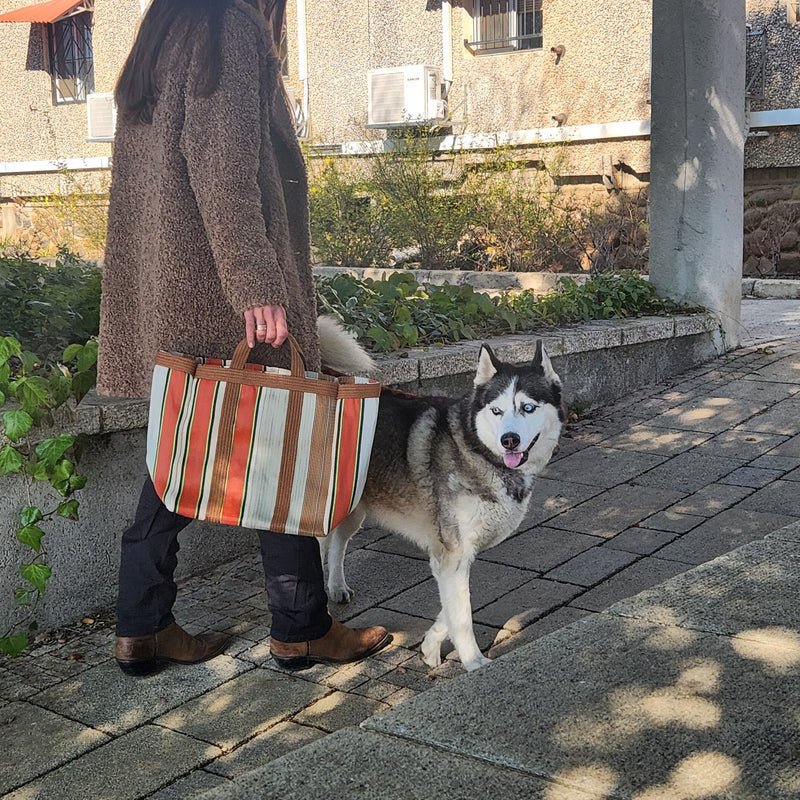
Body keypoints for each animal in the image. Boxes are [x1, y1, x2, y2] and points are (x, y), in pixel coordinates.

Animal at [318, 322, 564, 672]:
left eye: (528, 408)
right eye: (497, 410)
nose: (509, 440)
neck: (476, 449)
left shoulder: (453, 557)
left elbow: (449, 610)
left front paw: (430, 647)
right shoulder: (453, 554)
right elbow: (461, 617)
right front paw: (474, 663)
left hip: (355, 508)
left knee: (339, 542)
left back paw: (337, 588)